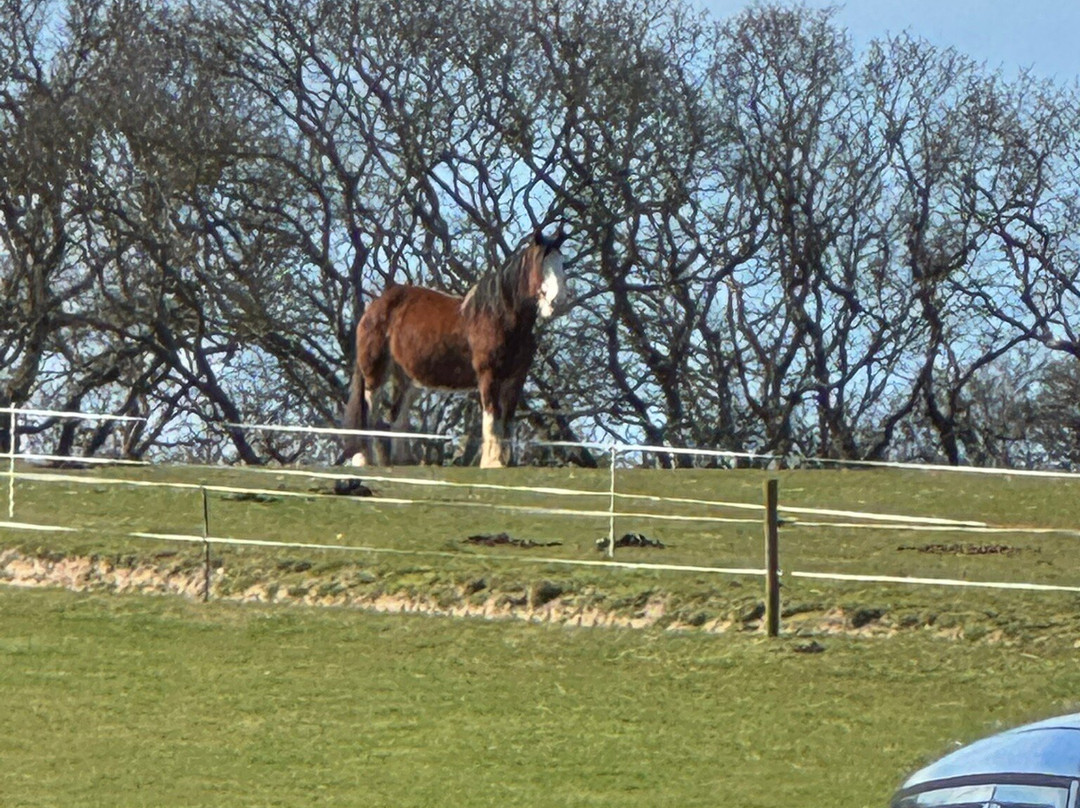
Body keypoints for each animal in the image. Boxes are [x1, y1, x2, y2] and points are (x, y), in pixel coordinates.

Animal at [343, 228, 568, 468]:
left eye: (561, 263)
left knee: (397, 413)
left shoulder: (515, 379)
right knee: (370, 412)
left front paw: (507, 462)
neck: (499, 317)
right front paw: (493, 463)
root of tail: (374, 308)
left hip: (407, 377)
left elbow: (507, 419)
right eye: (541, 263)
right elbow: (492, 417)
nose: (559, 302)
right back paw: (366, 460)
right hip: (374, 373)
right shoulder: (488, 376)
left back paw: (403, 460)